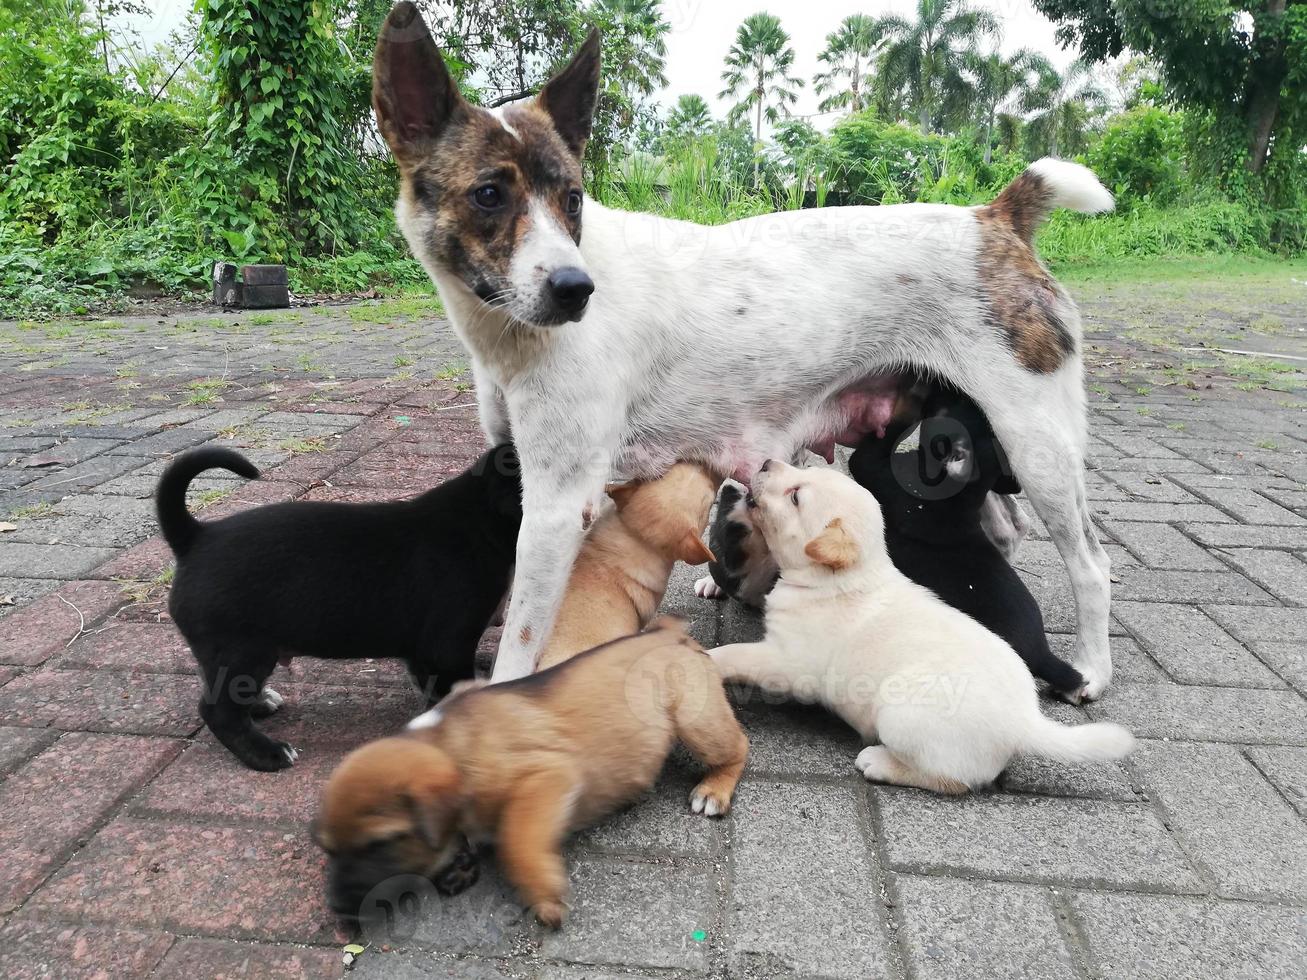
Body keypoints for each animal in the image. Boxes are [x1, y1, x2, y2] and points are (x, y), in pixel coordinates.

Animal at [155, 441, 517, 773]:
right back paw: (266, 754)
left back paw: (259, 705)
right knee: (219, 710)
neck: (479, 520)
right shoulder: (448, 647)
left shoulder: (426, 654)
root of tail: (195, 537)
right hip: (243, 650)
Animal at [313, 621, 747, 930]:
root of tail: (673, 634)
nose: (336, 909)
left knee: (739, 746)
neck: (449, 745)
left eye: (379, 844)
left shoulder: (546, 778)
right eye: (328, 849)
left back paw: (714, 790)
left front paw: (543, 892)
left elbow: (515, 840)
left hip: (697, 720)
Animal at [711, 462, 1129, 799]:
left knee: (951, 780)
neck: (841, 580)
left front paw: (708, 659)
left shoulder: (787, 660)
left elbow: (737, 654)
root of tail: (1026, 724)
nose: (766, 461)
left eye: (796, 496)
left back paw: (879, 763)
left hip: (901, 716)